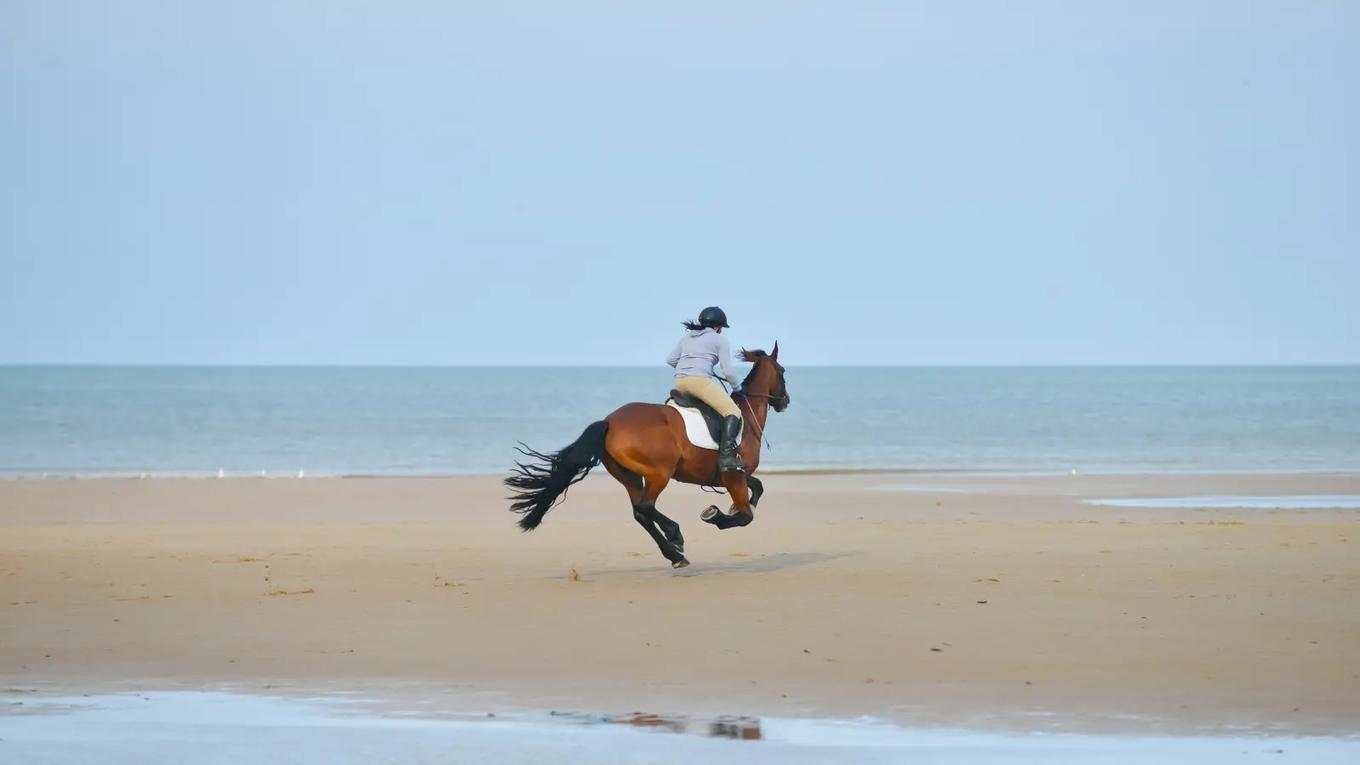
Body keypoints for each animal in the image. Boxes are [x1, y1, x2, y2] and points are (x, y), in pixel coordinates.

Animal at [505, 345, 794, 566]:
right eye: (782, 372)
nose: (785, 401)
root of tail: (609, 422)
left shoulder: (733, 476)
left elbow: (758, 488)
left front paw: (732, 507)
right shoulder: (733, 475)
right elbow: (745, 516)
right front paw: (716, 515)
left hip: (630, 476)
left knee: (640, 512)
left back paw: (675, 555)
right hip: (659, 474)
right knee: (645, 507)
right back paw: (675, 536)